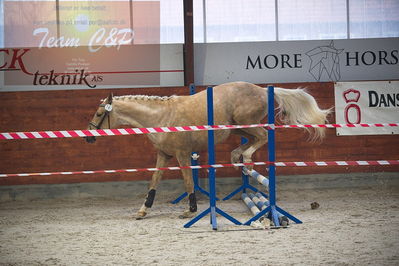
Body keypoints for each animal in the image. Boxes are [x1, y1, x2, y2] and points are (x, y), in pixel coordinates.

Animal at [86, 81, 332, 218]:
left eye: (99, 114)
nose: (88, 136)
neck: (162, 117)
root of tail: (263, 90)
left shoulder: (182, 155)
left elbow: (188, 182)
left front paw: (190, 210)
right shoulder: (164, 155)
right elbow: (154, 182)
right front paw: (143, 210)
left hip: (244, 122)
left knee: (263, 135)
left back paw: (246, 158)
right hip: (236, 127)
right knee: (252, 138)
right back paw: (237, 156)